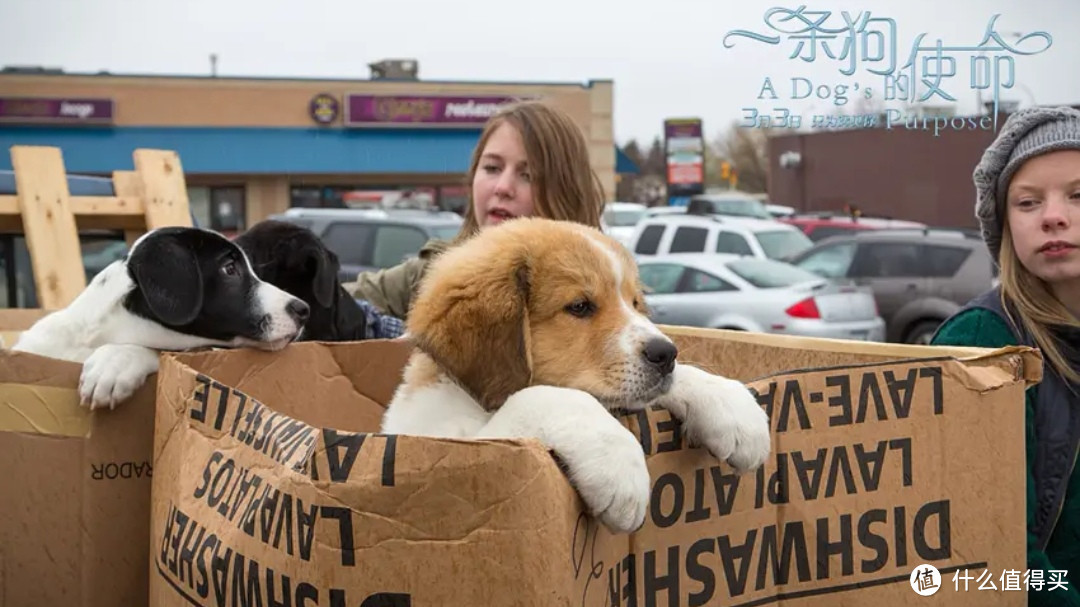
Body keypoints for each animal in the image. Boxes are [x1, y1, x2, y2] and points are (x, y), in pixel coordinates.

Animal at [380, 216, 768, 529]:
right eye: (580, 306)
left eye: (634, 303)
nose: (666, 354)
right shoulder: (458, 448)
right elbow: (546, 396)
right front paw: (620, 468)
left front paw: (735, 410)